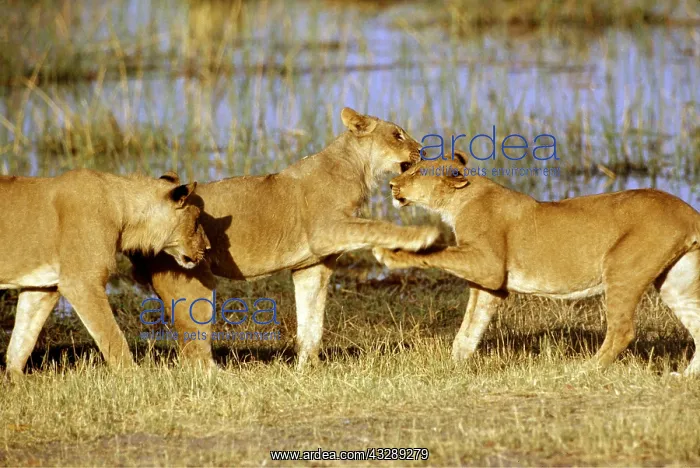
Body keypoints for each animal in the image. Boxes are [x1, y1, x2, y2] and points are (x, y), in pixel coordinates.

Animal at [1, 169, 210, 379]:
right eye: (196, 220)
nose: (208, 247)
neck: (123, 210)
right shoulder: (81, 282)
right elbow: (112, 335)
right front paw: (135, 376)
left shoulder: (42, 286)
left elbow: (23, 337)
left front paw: (16, 378)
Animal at [129, 107, 440, 368]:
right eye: (397, 135)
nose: (423, 150)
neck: (356, 167)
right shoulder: (328, 231)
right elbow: (376, 227)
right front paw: (423, 235)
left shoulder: (313, 266)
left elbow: (311, 321)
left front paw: (308, 369)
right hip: (194, 283)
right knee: (193, 350)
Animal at [373, 152, 700, 376]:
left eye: (415, 172)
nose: (390, 185)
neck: (459, 201)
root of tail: (688, 211)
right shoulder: (490, 285)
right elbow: (470, 328)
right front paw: (454, 366)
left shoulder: (488, 265)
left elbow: (438, 252)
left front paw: (391, 253)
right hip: (675, 282)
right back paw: (686, 376)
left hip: (621, 268)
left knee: (623, 330)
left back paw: (584, 370)